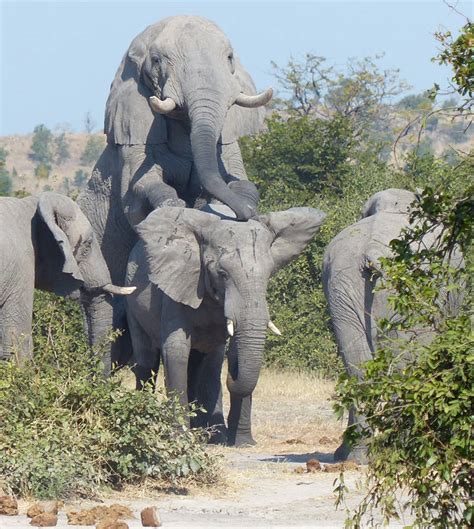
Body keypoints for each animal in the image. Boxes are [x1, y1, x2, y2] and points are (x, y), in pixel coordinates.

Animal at [79, 16, 272, 370]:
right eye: (156, 61)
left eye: (229, 59)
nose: (246, 218)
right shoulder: (135, 129)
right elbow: (138, 193)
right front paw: (176, 209)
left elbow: (242, 182)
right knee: (104, 323)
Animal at [124, 204, 328, 444]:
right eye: (221, 273)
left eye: (269, 273)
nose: (232, 374)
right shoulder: (177, 288)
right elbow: (176, 352)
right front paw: (181, 438)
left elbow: (214, 359)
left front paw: (236, 442)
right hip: (132, 303)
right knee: (146, 360)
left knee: (202, 364)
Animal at [322, 190, 462, 462]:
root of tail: (372, 251)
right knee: (404, 371)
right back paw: (403, 449)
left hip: (342, 287)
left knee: (359, 369)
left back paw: (358, 456)